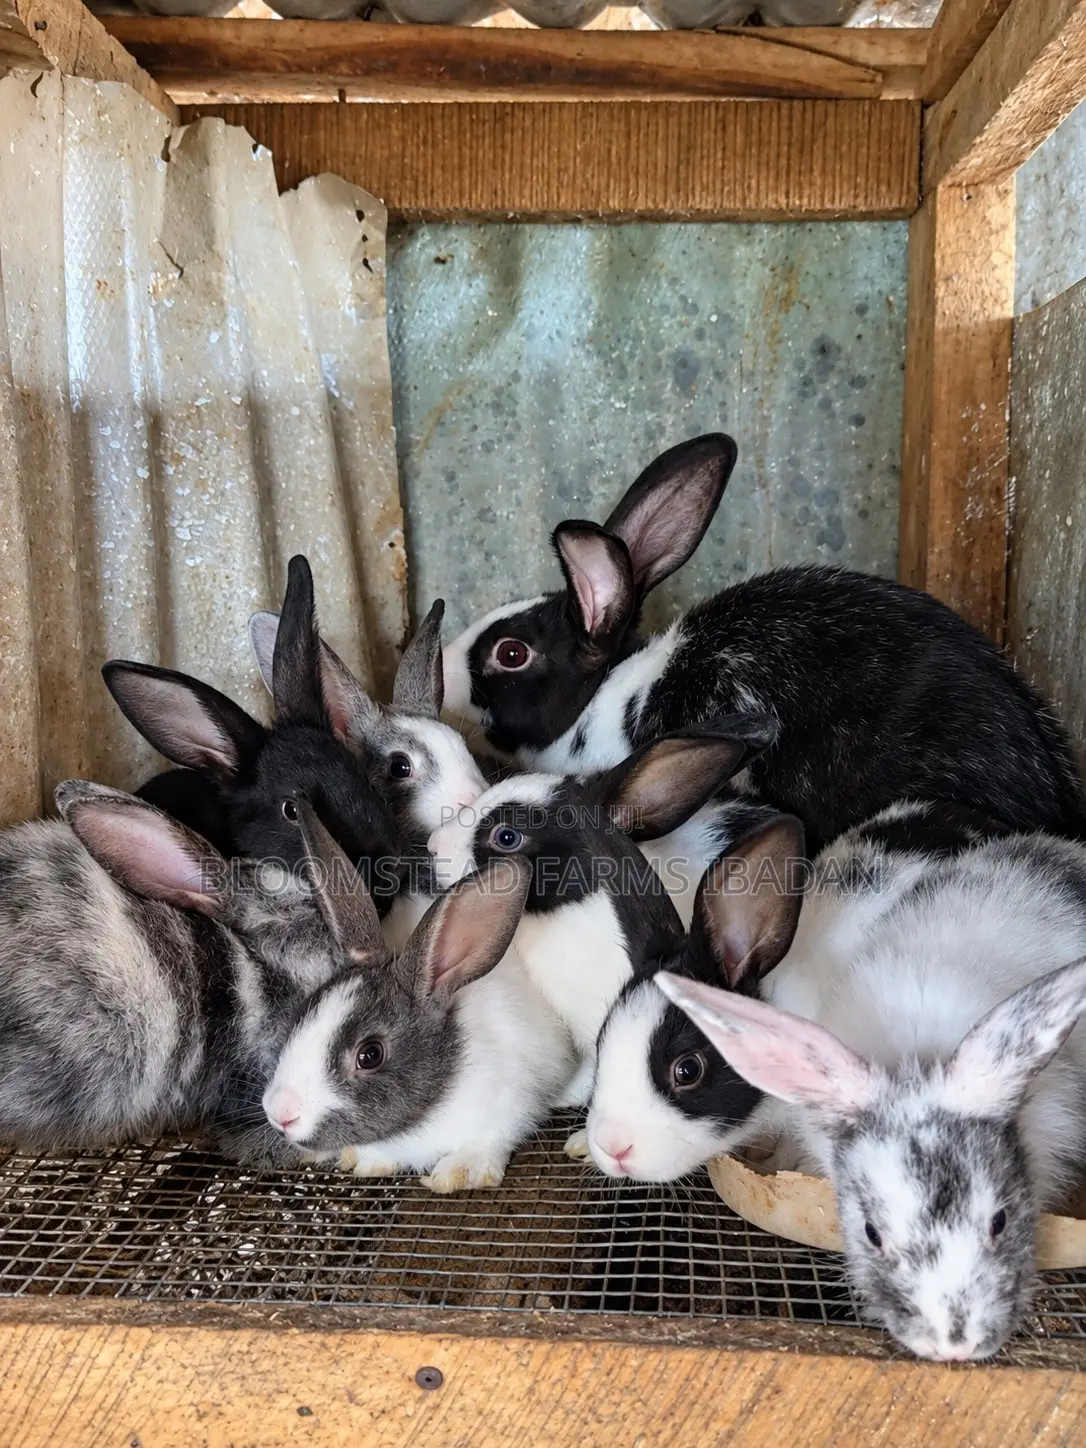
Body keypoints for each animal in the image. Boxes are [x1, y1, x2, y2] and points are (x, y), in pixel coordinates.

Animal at [263, 806, 575, 1193]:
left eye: (370, 1055)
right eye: (303, 1013)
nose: (280, 1113)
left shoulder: (513, 1104)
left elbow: (490, 1143)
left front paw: (458, 1173)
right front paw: (369, 1163)